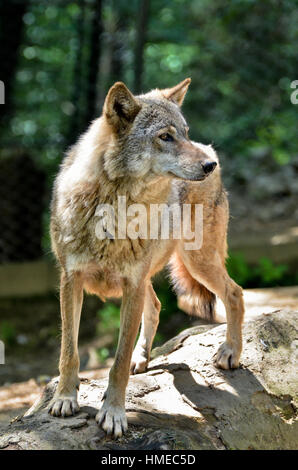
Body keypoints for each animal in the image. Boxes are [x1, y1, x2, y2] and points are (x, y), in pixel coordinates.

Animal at [49, 80, 244, 436]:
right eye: (165, 136)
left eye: (184, 133)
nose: (209, 166)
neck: (114, 208)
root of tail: (211, 148)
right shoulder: (71, 280)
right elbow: (69, 351)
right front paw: (64, 399)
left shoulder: (132, 283)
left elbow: (117, 362)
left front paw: (113, 413)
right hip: (157, 275)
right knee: (155, 305)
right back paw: (143, 358)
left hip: (195, 262)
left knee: (234, 293)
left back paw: (230, 353)